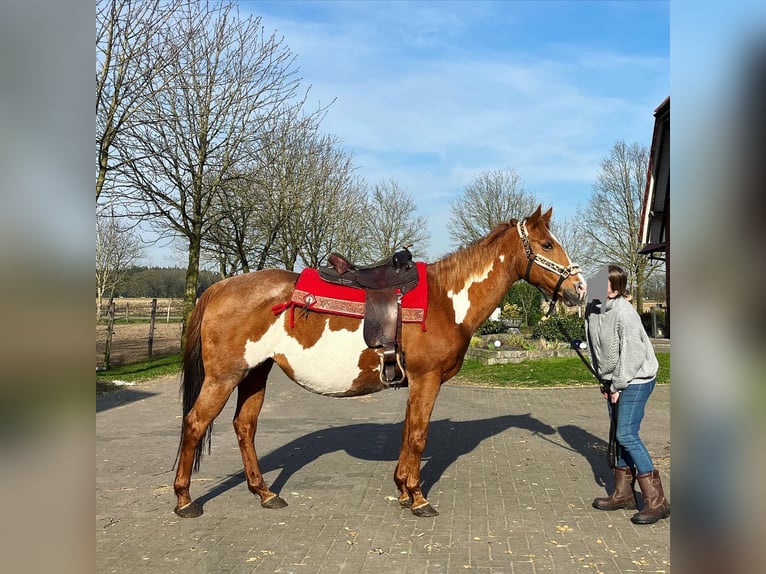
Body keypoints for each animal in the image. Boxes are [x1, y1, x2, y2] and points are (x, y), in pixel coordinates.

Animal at [174, 208, 588, 520]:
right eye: (547, 244)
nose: (579, 289)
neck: (447, 300)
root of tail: (218, 288)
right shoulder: (427, 379)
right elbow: (418, 435)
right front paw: (418, 498)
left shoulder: (416, 382)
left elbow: (407, 433)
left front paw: (403, 490)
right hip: (223, 377)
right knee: (194, 424)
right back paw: (184, 500)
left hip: (255, 374)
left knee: (244, 427)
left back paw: (265, 493)